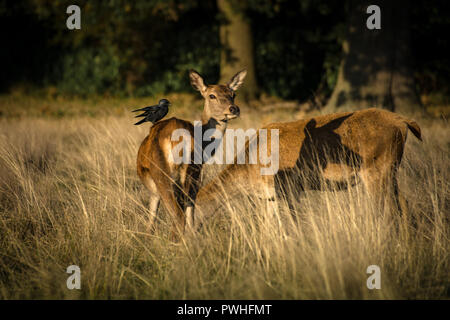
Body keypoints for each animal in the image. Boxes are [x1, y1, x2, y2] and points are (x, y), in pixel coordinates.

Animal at [137, 69, 250, 239]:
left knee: (178, 213)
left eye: (233, 94)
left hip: (165, 172)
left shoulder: (154, 188)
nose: (233, 109)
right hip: (190, 170)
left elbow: (153, 213)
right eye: (212, 95)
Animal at [193, 107, 422, 228]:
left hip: (377, 168)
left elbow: (294, 223)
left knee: (389, 210)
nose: (184, 238)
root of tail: (403, 122)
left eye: (189, 207)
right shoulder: (270, 196)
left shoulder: (290, 187)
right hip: (391, 170)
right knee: (404, 205)